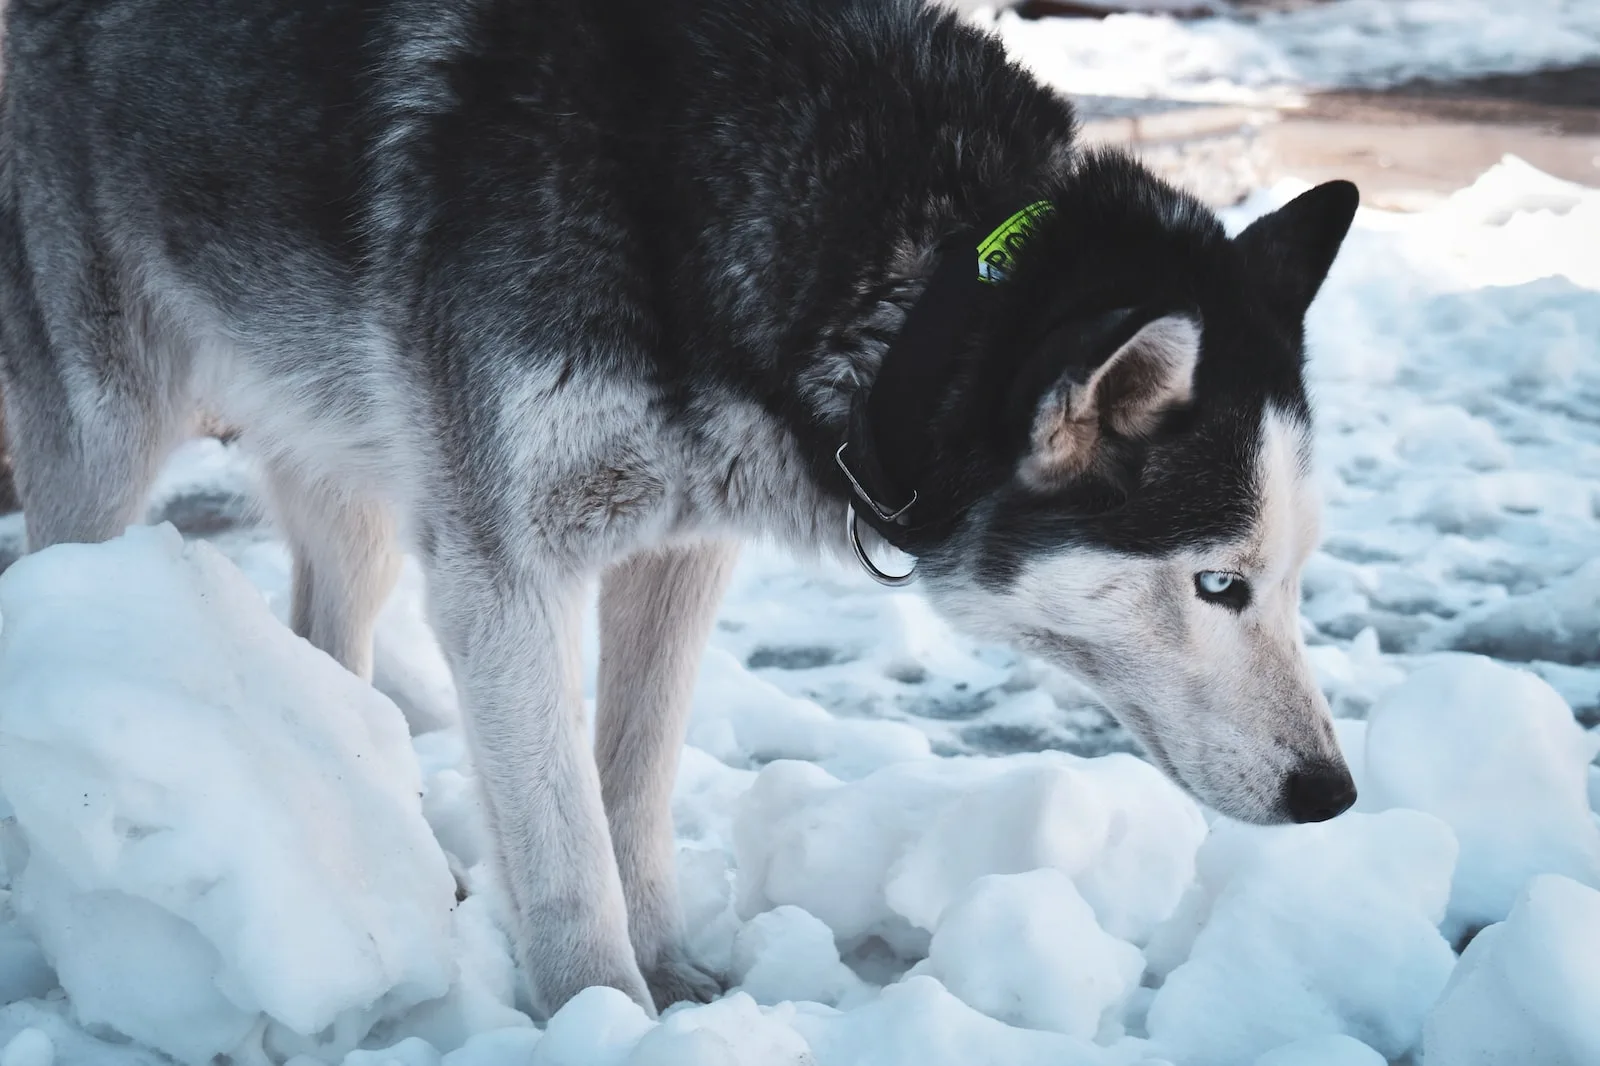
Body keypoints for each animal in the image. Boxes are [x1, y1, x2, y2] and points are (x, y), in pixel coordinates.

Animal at [3, 0, 1363, 1011]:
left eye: (1295, 578)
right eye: (1219, 582)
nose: (1334, 798)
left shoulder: (680, 550)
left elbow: (630, 784)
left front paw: (669, 980)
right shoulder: (503, 573)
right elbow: (566, 850)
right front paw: (601, 1014)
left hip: (352, 492)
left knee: (329, 655)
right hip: (111, 451)